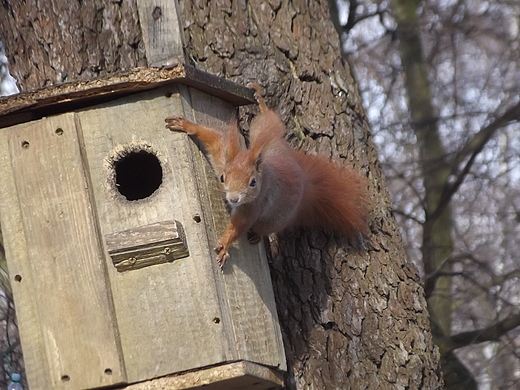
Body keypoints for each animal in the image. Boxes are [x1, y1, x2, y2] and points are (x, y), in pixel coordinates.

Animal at [165, 82, 368, 266]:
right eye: (222, 177)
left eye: (253, 182)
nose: (234, 198)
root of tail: (303, 181)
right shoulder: (220, 155)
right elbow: (213, 138)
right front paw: (184, 124)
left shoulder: (254, 205)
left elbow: (239, 225)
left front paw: (224, 245)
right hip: (265, 131)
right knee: (269, 119)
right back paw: (259, 99)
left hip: (276, 219)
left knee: (264, 228)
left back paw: (256, 235)